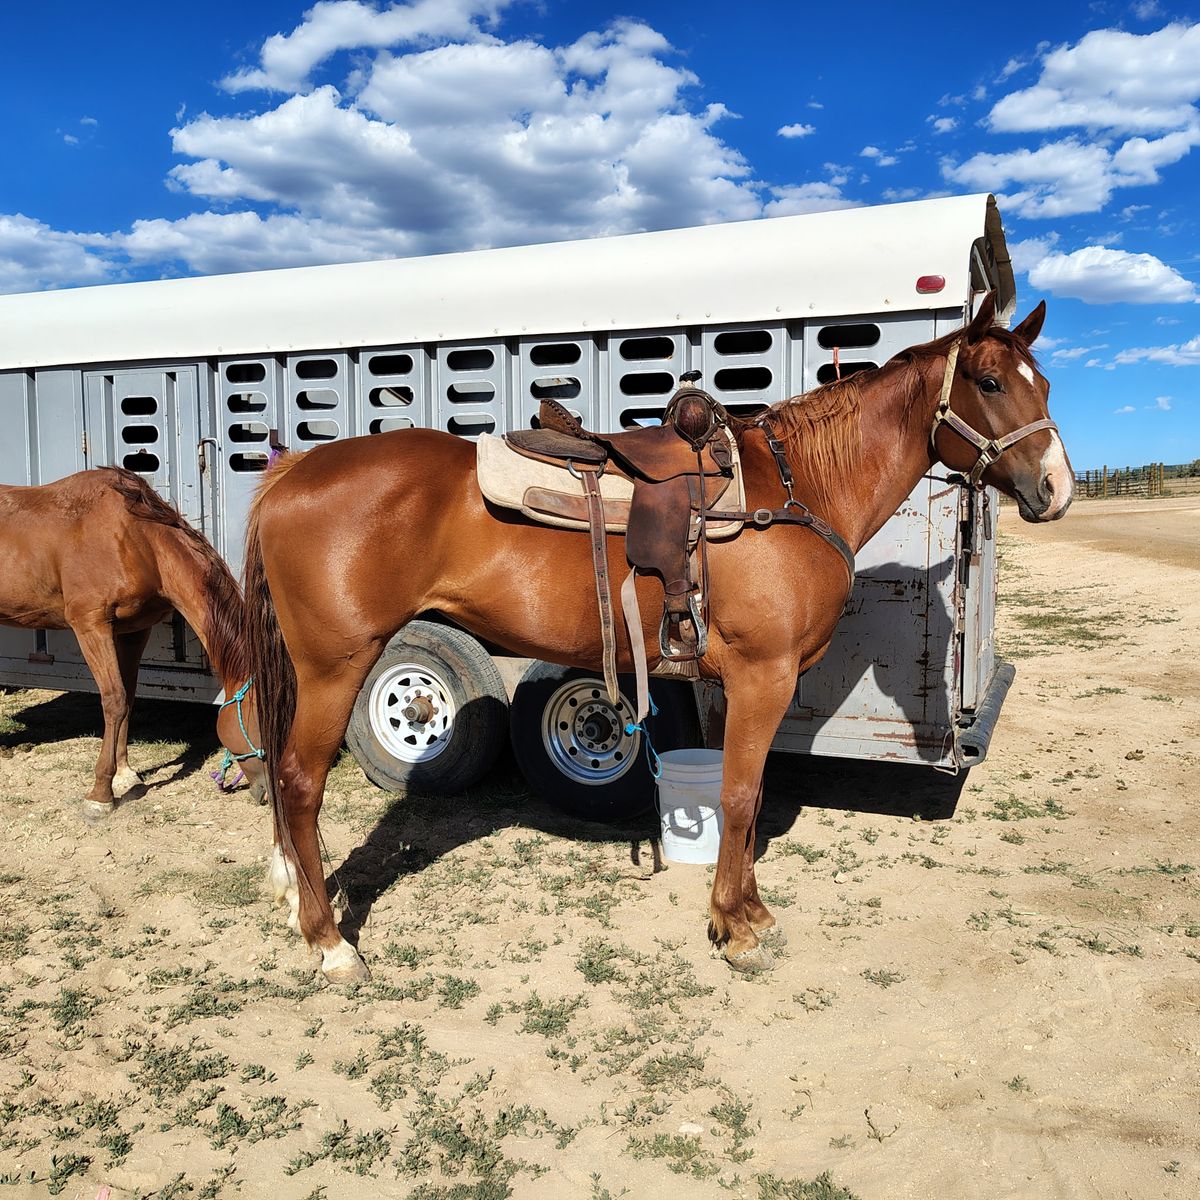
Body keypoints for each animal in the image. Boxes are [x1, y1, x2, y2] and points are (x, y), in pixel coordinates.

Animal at [0, 467, 264, 818]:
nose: (267, 791)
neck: (133, 539)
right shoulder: (91, 625)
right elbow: (114, 698)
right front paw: (100, 795)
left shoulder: (133, 630)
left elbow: (129, 695)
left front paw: (124, 775)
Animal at [243, 293, 1072, 982]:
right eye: (990, 383)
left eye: (1044, 385)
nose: (1057, 489)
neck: (793, 492)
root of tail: (291, 474)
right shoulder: (763, 676)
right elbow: (740, 794)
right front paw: (736, 928)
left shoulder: (735, 683)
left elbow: (750, 794)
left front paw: (748, 910)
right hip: (335, 666)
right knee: (298, 781)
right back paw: (329, 943)